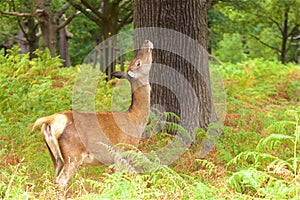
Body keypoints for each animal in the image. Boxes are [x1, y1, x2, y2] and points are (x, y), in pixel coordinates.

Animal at [33, 40, 152, 188]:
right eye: (138, 62)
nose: (146, 42)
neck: (136, 121)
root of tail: (51, 121)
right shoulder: (123, 152)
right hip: (73, 155)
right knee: (61, 181)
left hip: (55, 157)